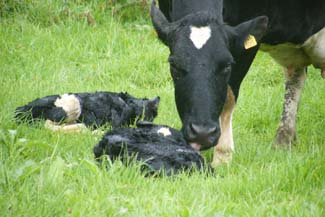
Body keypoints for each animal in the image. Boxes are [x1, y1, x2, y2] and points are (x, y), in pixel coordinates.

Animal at [151, 0, 324, 166]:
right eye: (174, 64)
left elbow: (228, 99)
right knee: (295, 76)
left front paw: (223, 156)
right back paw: (283, 140)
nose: (202, 133)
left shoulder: (246, 46)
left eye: (228, 65)